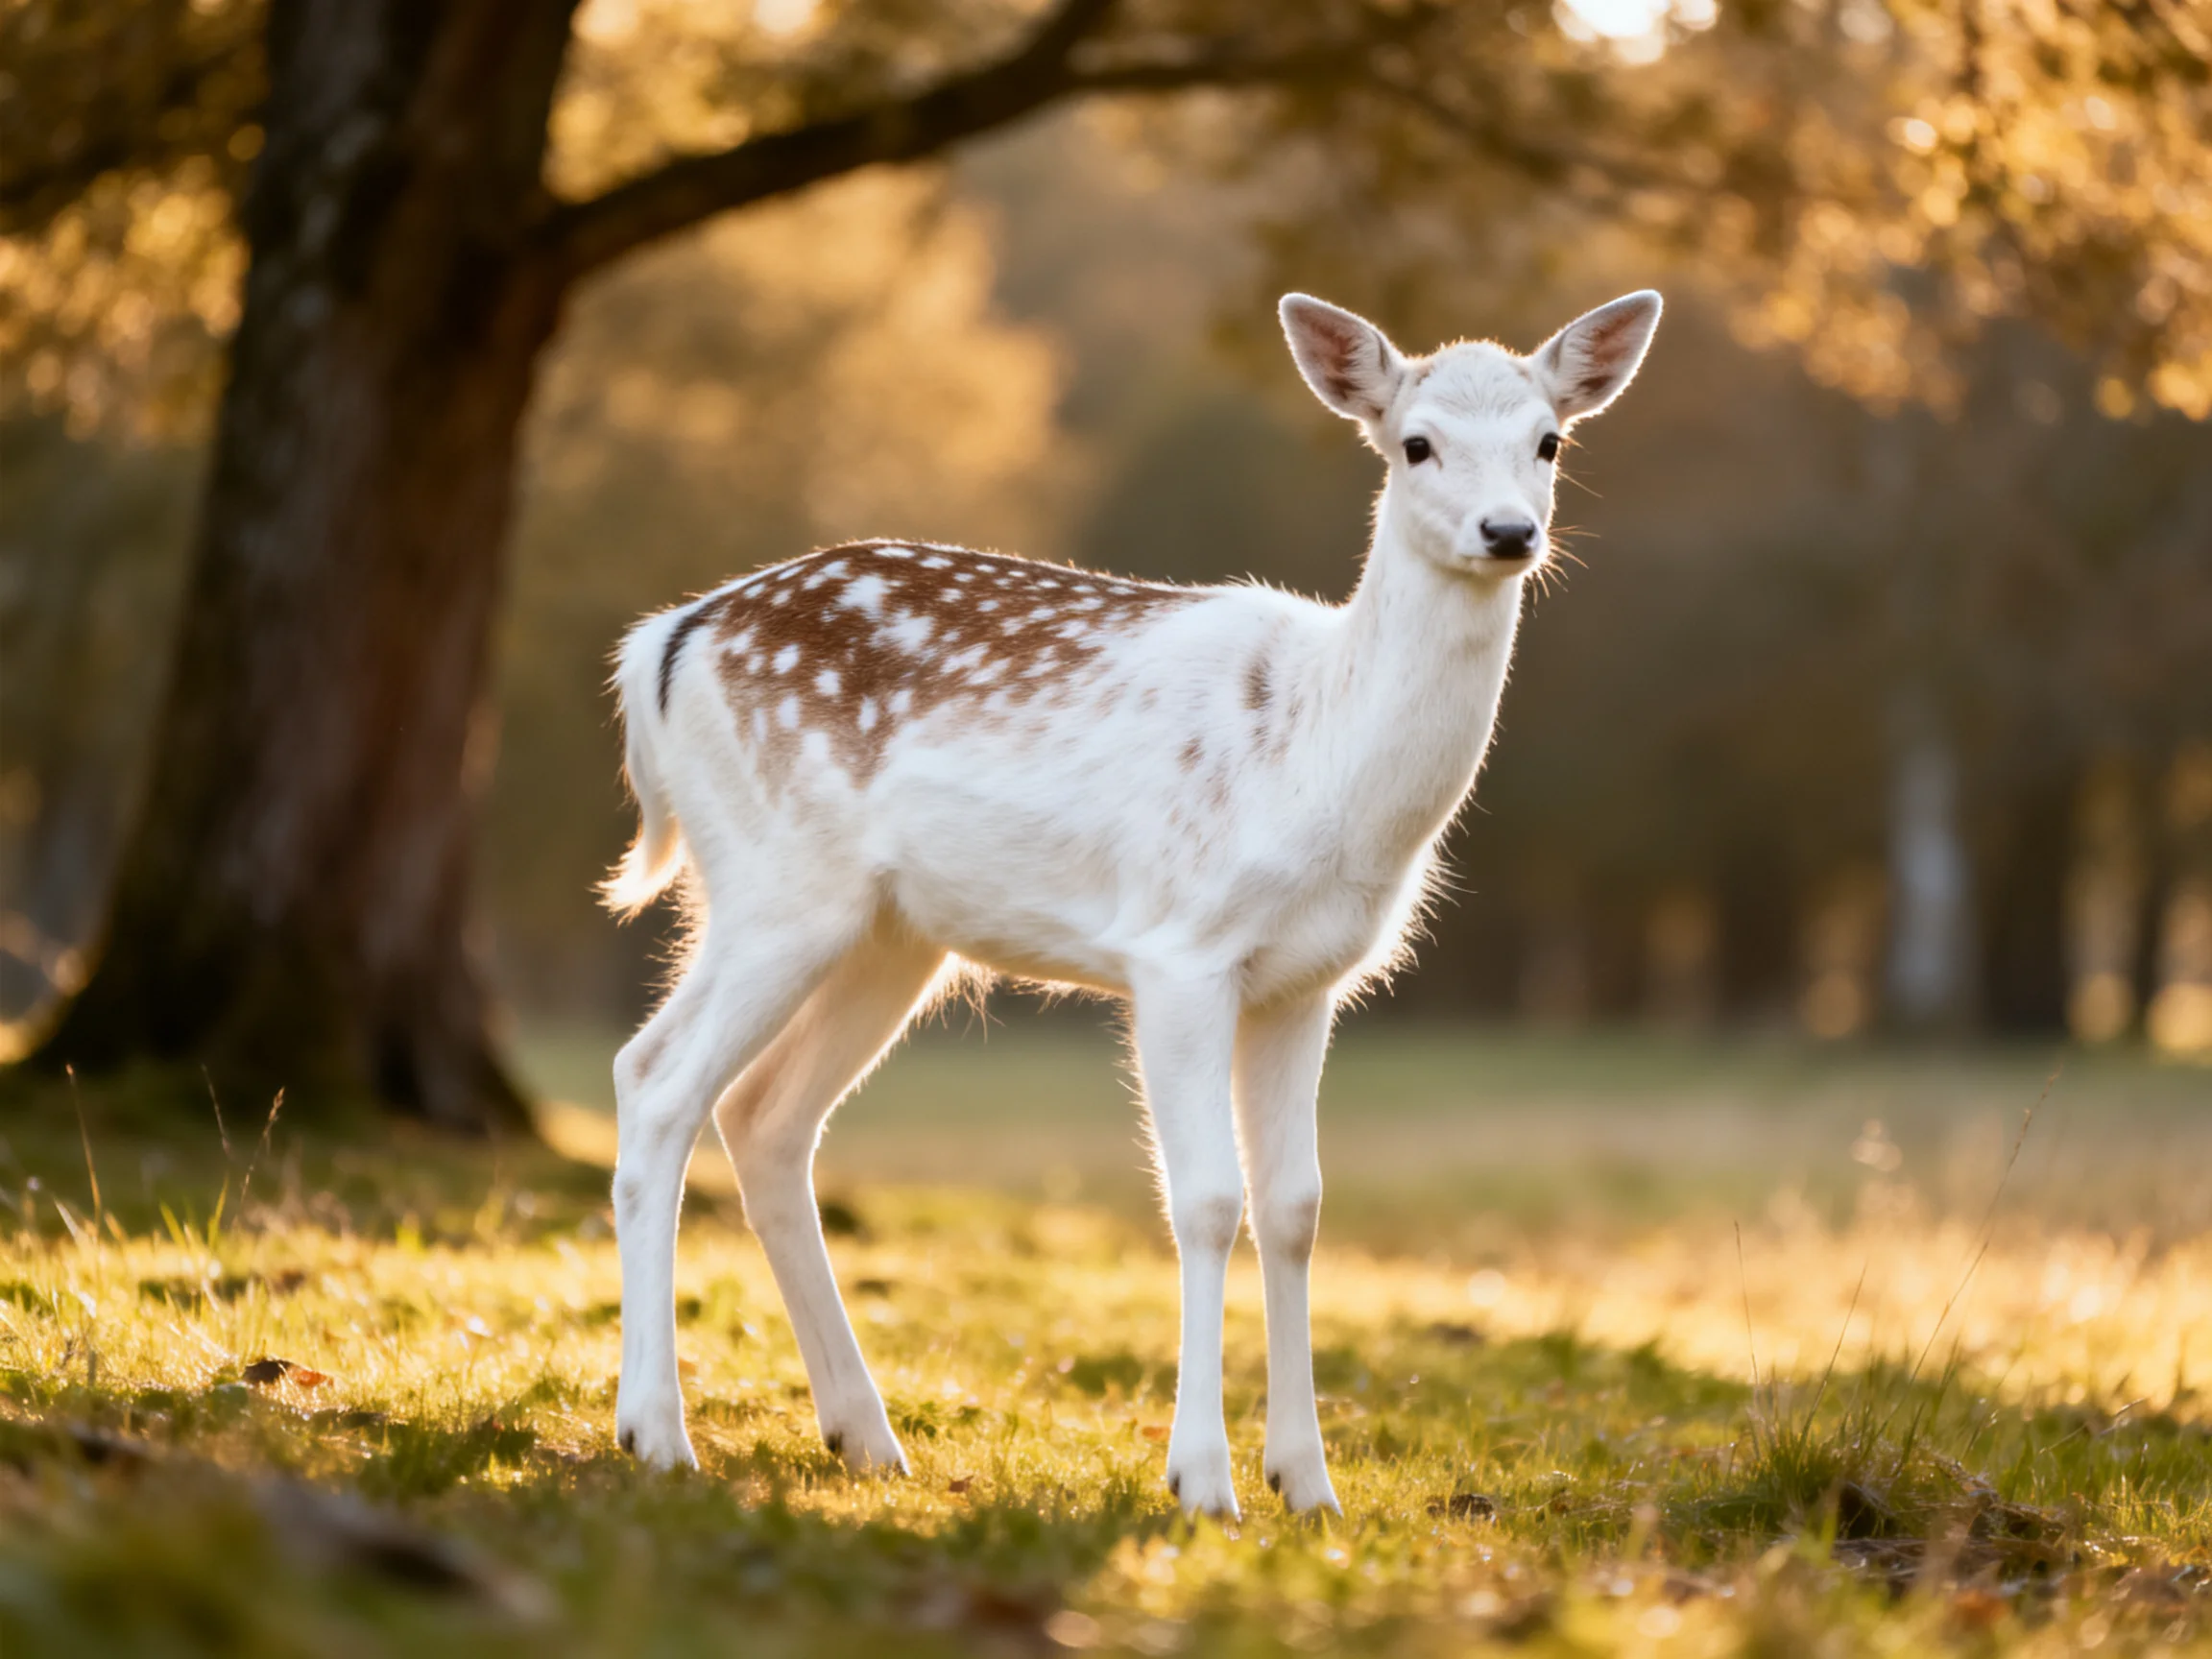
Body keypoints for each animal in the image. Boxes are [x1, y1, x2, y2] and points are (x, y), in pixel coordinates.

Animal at [601, 288, 1662, 1518]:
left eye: (1551, 441)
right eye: (1415, 443)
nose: (1508, 532)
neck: (1317, 759)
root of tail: (661, 645)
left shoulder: (1308, 981)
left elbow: (1296, 1206)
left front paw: (1309, 1485)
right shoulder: (1180, 949)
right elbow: (1204, 1199)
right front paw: (1201, 1481)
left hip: (886, 934)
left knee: (764, 1114)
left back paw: (863, 1436)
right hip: (776, 881)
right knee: (656, 1081)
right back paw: (656, 1434)